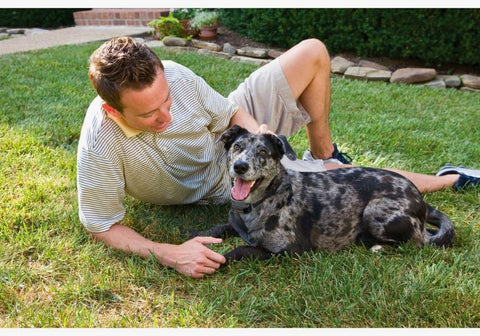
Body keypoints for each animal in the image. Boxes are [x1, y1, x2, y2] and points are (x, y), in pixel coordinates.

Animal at [190, 124, 454, 262]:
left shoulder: (288, 251)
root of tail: (419, 198)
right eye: (237, 147)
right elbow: (217, 228)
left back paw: (378, 246)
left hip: (375, 212)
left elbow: (239, 250)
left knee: (420, 241)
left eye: (263, 152)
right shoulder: (234, 224)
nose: (240, 166)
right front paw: (192, 233)